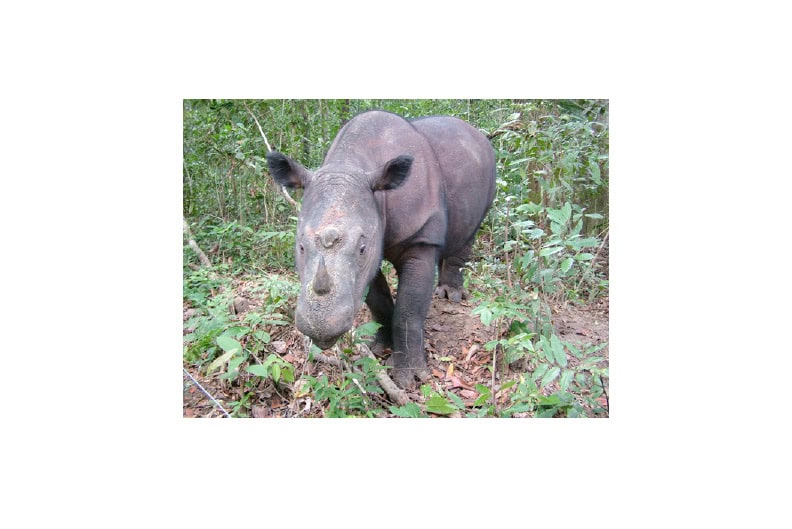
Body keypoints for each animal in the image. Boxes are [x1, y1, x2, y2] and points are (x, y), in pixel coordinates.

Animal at [267, 110, 496, 388]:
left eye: (362, 248)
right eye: (300, 246)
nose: (320, 327)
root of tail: (477, 134)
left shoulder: (420, 238)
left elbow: (408, 310)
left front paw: (410, 377)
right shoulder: (368, 256)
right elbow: (377, 300)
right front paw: (379, 347)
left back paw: (450, 296)